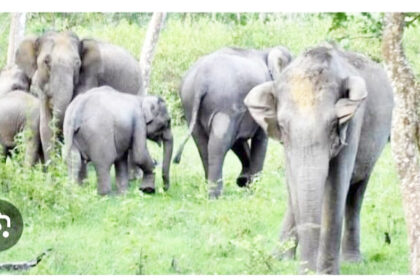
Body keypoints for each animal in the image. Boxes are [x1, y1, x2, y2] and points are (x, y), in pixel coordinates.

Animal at [174, 46, 292, 199]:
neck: (267, 51)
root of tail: (201, 80)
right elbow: (259, 140)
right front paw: (254, 190)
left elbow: (238, 142)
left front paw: (243, 182)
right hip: (225, 105)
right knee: (219, 143)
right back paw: (215, 196)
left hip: (190, 106)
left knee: (203, 145)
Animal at [244, 44, 392, 274]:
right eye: (283, 126)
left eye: (333, 124)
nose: (309, 270)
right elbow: (294, 183)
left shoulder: (353, 124)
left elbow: (336, 187)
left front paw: (327, 273)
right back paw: (280, 257)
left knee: (356, 192)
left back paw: (352, 261)